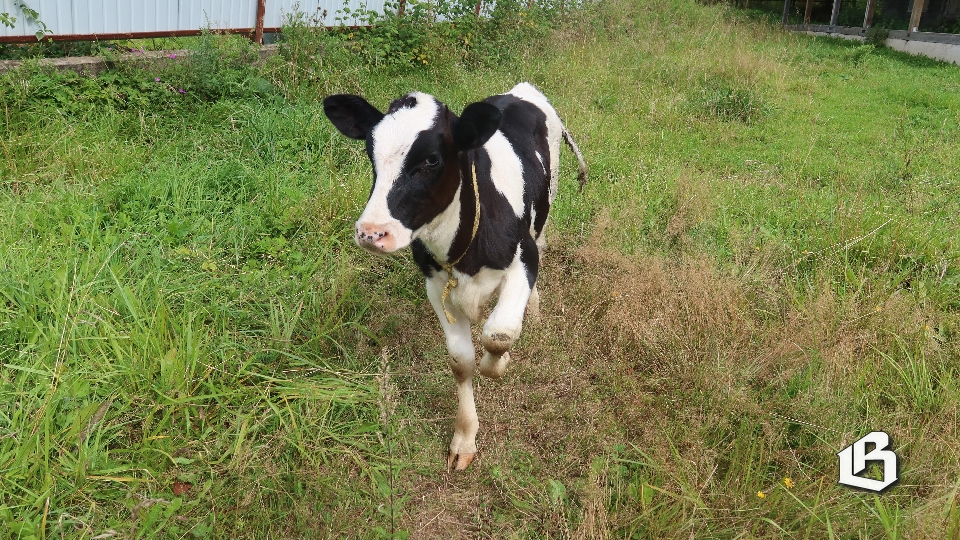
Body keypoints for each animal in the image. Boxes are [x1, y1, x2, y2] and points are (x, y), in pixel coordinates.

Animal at [326, 82, 588, 470]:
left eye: (432, 160)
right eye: (371, 155)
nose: (372, 232)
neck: (464, 251)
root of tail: (521, 89)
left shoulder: (523, 257)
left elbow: (499, 334)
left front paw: (500, 360)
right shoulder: (436, 284)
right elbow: (461, 361)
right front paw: (464, 439)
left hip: (546, 204)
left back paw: (534, 309)